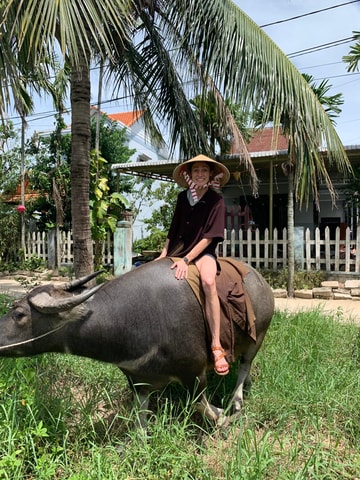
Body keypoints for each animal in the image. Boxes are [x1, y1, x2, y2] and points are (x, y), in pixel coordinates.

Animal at [0, 258, 272, 428]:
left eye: (19, 314)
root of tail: (262, 281)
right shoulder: (137, 379)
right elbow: (140, 421)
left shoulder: (194, 373)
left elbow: (201, 406)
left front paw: (223, 416)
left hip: (257, 336)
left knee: (245, 364)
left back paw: (237, 399)